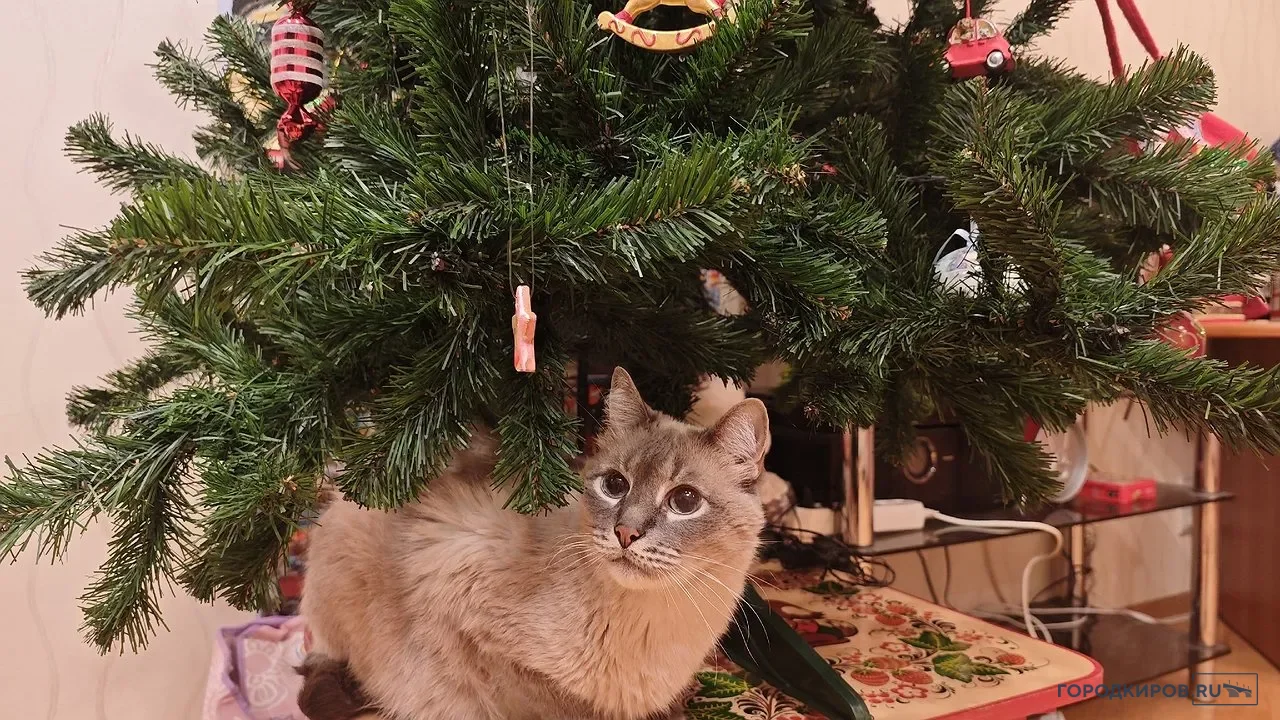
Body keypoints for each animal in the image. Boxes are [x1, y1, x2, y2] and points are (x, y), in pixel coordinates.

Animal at [300, 367, 770, 720]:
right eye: (615, 485)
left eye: (685, 501)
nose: (625, 533)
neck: (654, 620)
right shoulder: (469, 618)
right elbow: (558, 709)